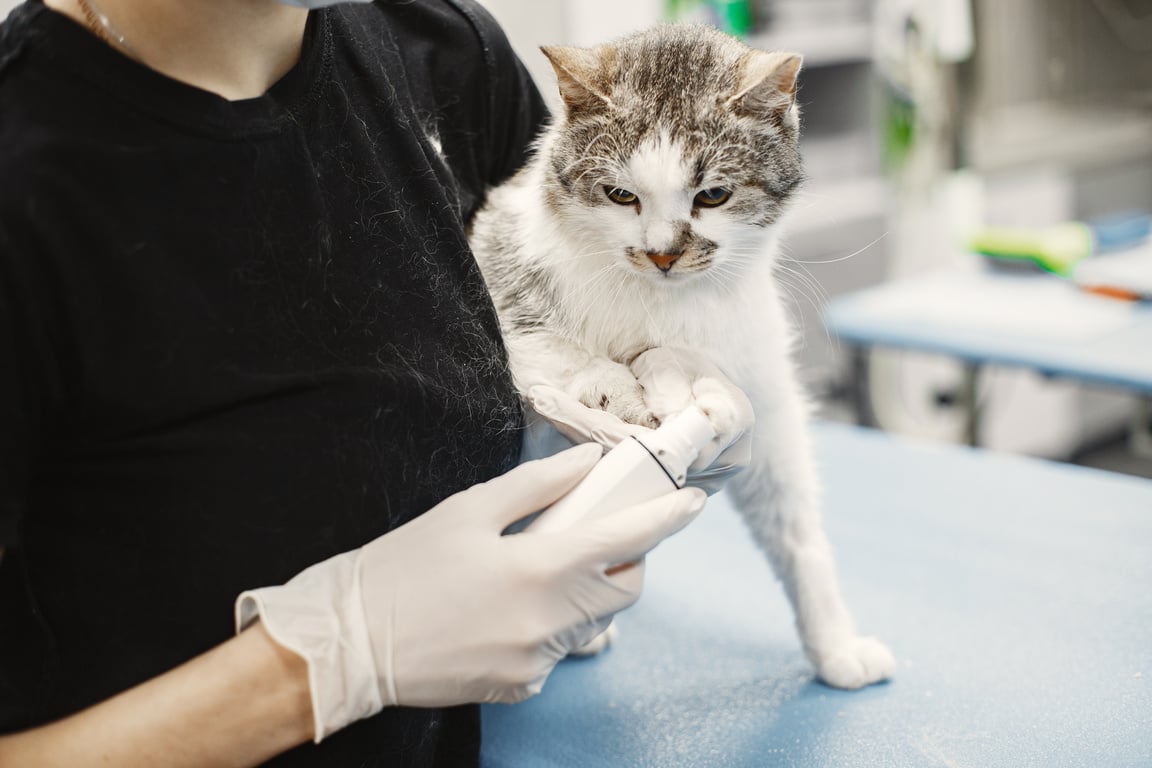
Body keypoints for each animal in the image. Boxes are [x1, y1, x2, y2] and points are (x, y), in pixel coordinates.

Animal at [465, 24, 889, 690]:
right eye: (620, 195)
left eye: (713, 195)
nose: (662, 253)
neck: (663, 304)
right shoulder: (500, 263)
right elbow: (555, 347)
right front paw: (622, 393)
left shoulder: (762, 389)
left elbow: (795, 525)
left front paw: (835, 643)